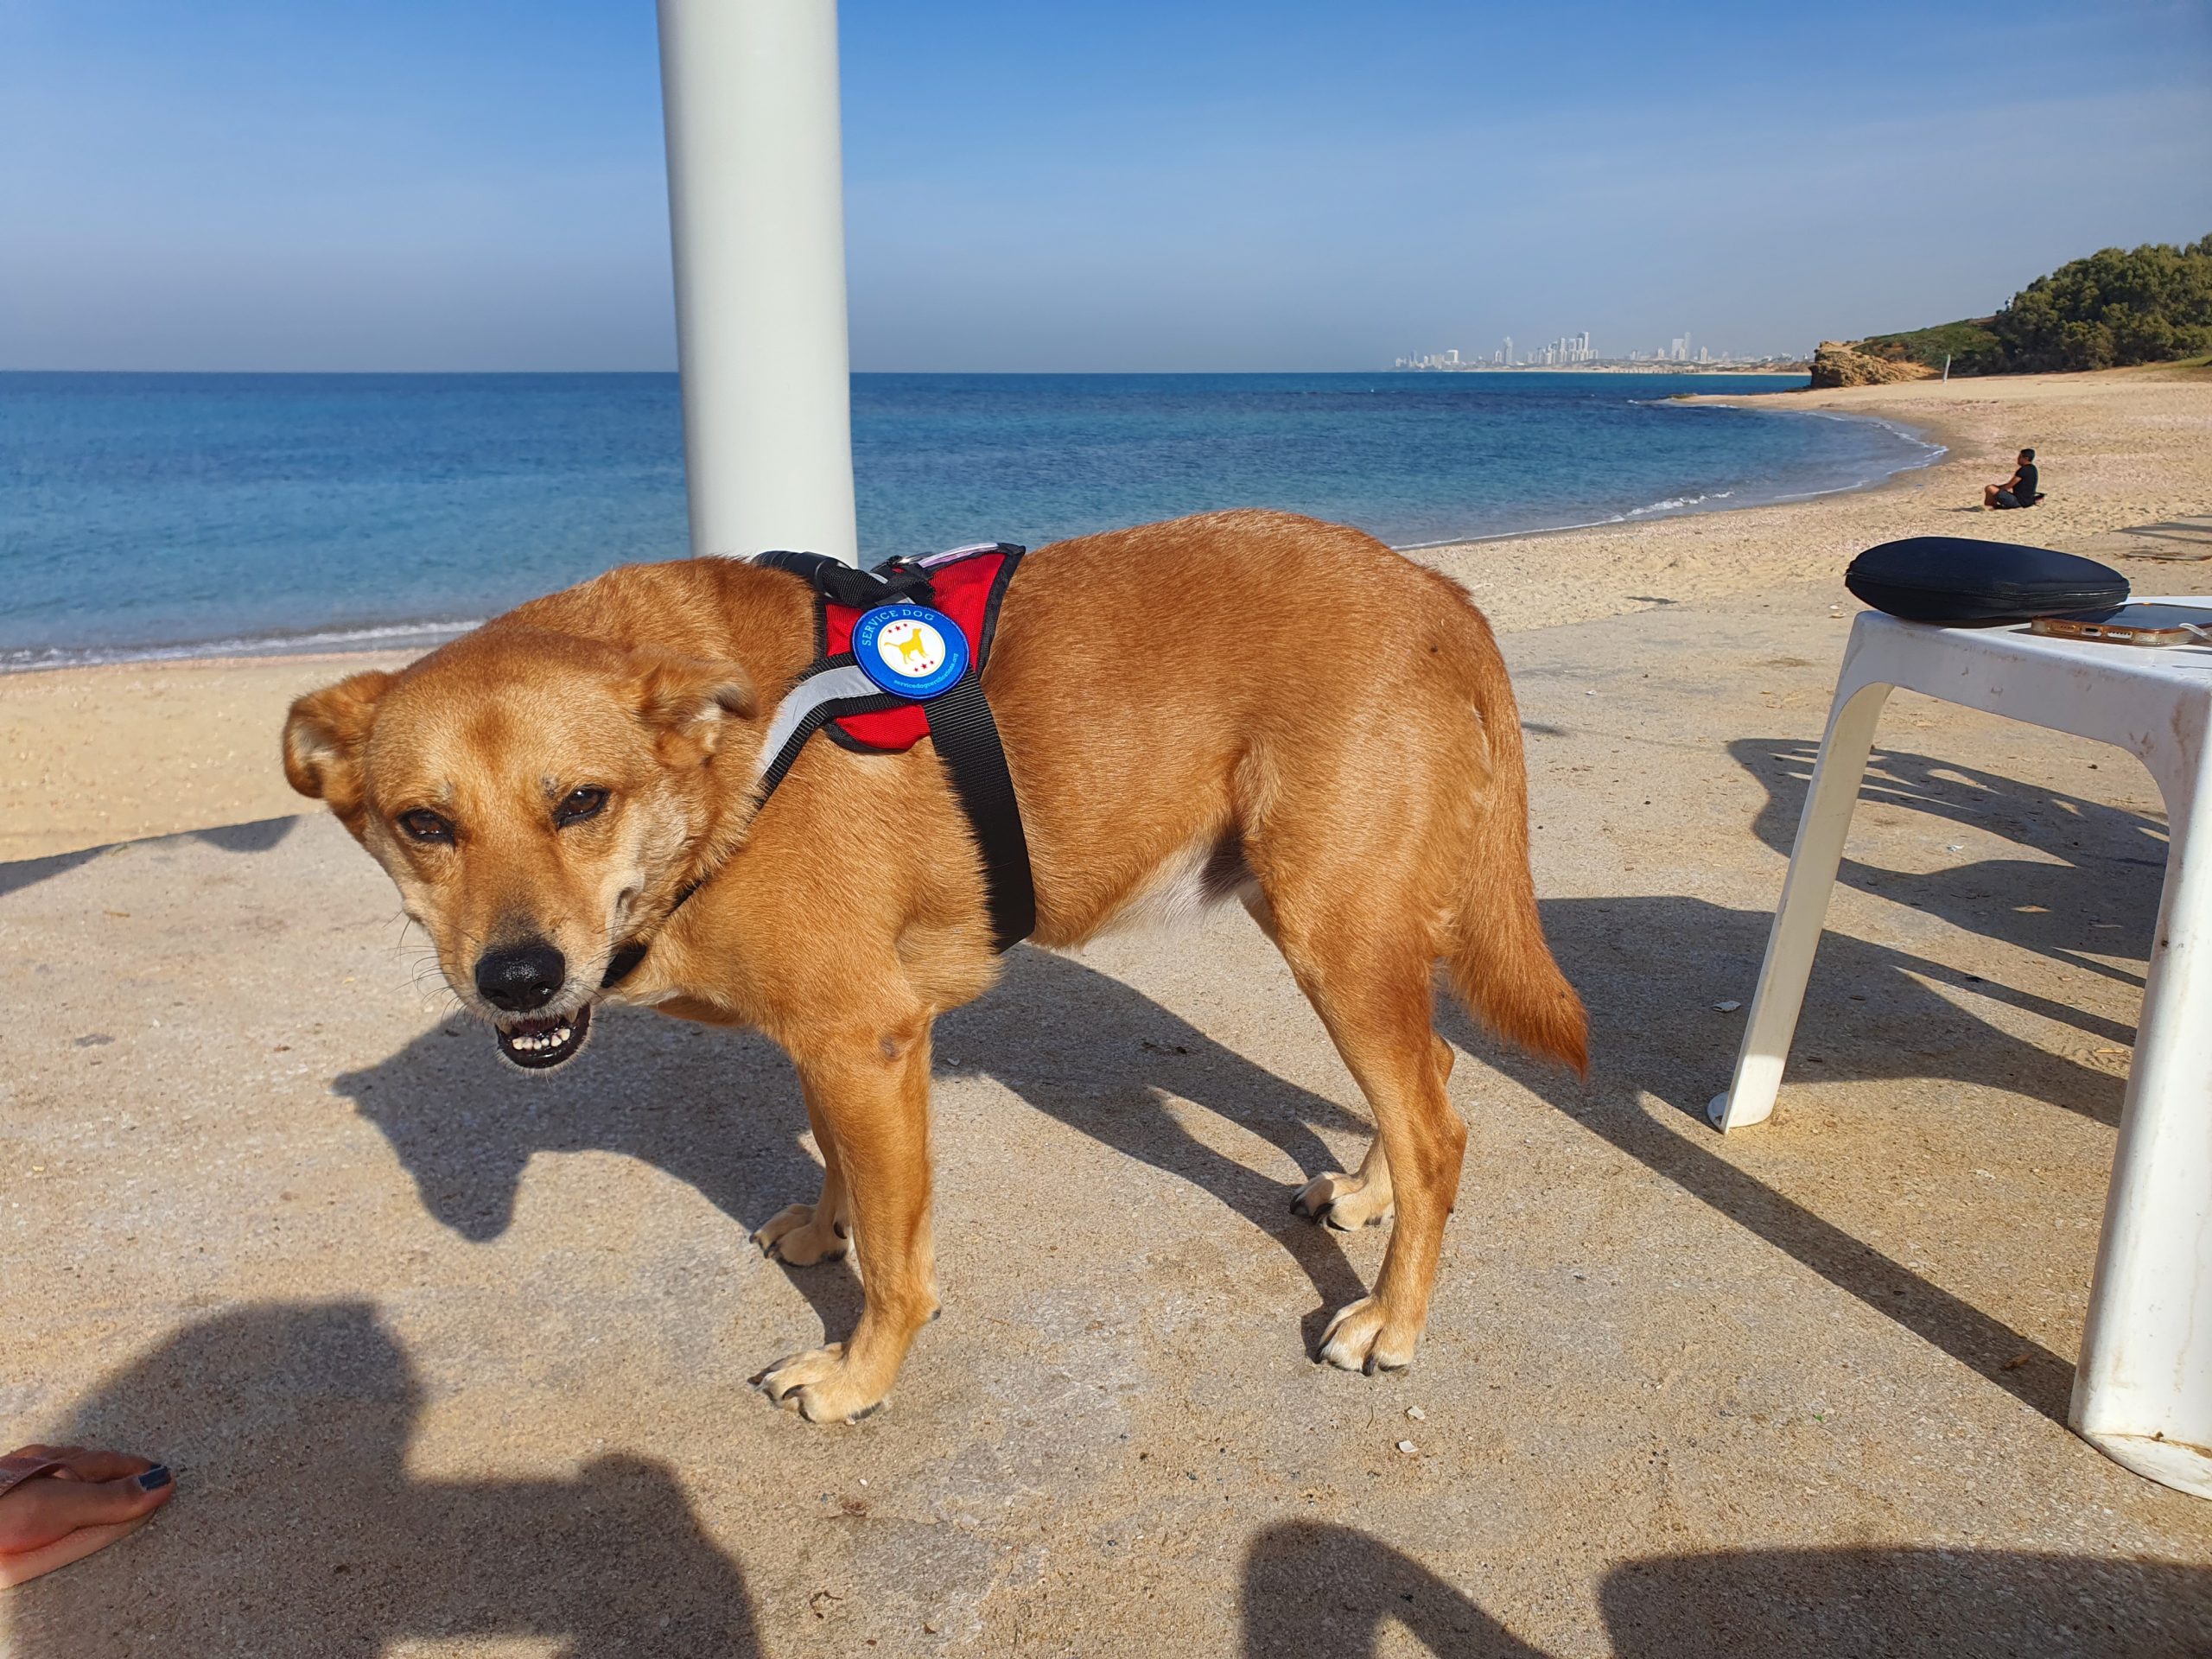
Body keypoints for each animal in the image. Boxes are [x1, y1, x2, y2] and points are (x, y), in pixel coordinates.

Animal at [283, 509, 1587, 1424]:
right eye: (423, 824)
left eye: (580, 803)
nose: (517, 978)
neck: (722, 763)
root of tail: (1434, 588)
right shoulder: (832, 1043)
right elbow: (843, 1178)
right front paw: (826, 1230)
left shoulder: (864, 1038)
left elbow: (898, 1269)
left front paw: (858, 1376)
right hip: (1349, 931)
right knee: (1429, 1079)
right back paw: (1368, 1193)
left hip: (1335, 936)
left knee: (1437, 1130)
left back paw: (1393, 1320)